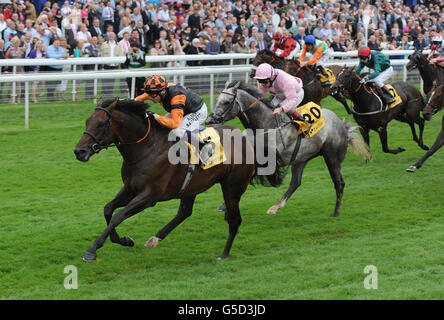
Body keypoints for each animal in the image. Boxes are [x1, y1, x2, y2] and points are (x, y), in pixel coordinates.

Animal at [72, 99, 253, 262]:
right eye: (87, 121)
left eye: (101, 124)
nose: (79, 151)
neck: (147, 148)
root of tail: (243, 137)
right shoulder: (130, 188)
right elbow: (108, 209)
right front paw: (124, 240)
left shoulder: (150, 196)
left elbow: (118, 216)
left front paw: (92, 250)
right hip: (191, 186)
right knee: (185, 212)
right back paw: (155, 238)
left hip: (232, 187)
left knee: (235, 220)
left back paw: (224, 254)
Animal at [207, 80, 372, 218]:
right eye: (217, 100)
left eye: (226, 102)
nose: (210, 120)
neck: (267, 124)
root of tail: (342, 125)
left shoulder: (272, 160)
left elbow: (254, 173)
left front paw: (226, 204)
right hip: (301, 159)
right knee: (296, 182)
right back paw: (275, 207)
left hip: (332, 158)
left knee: (339, 182)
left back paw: (336, 212)